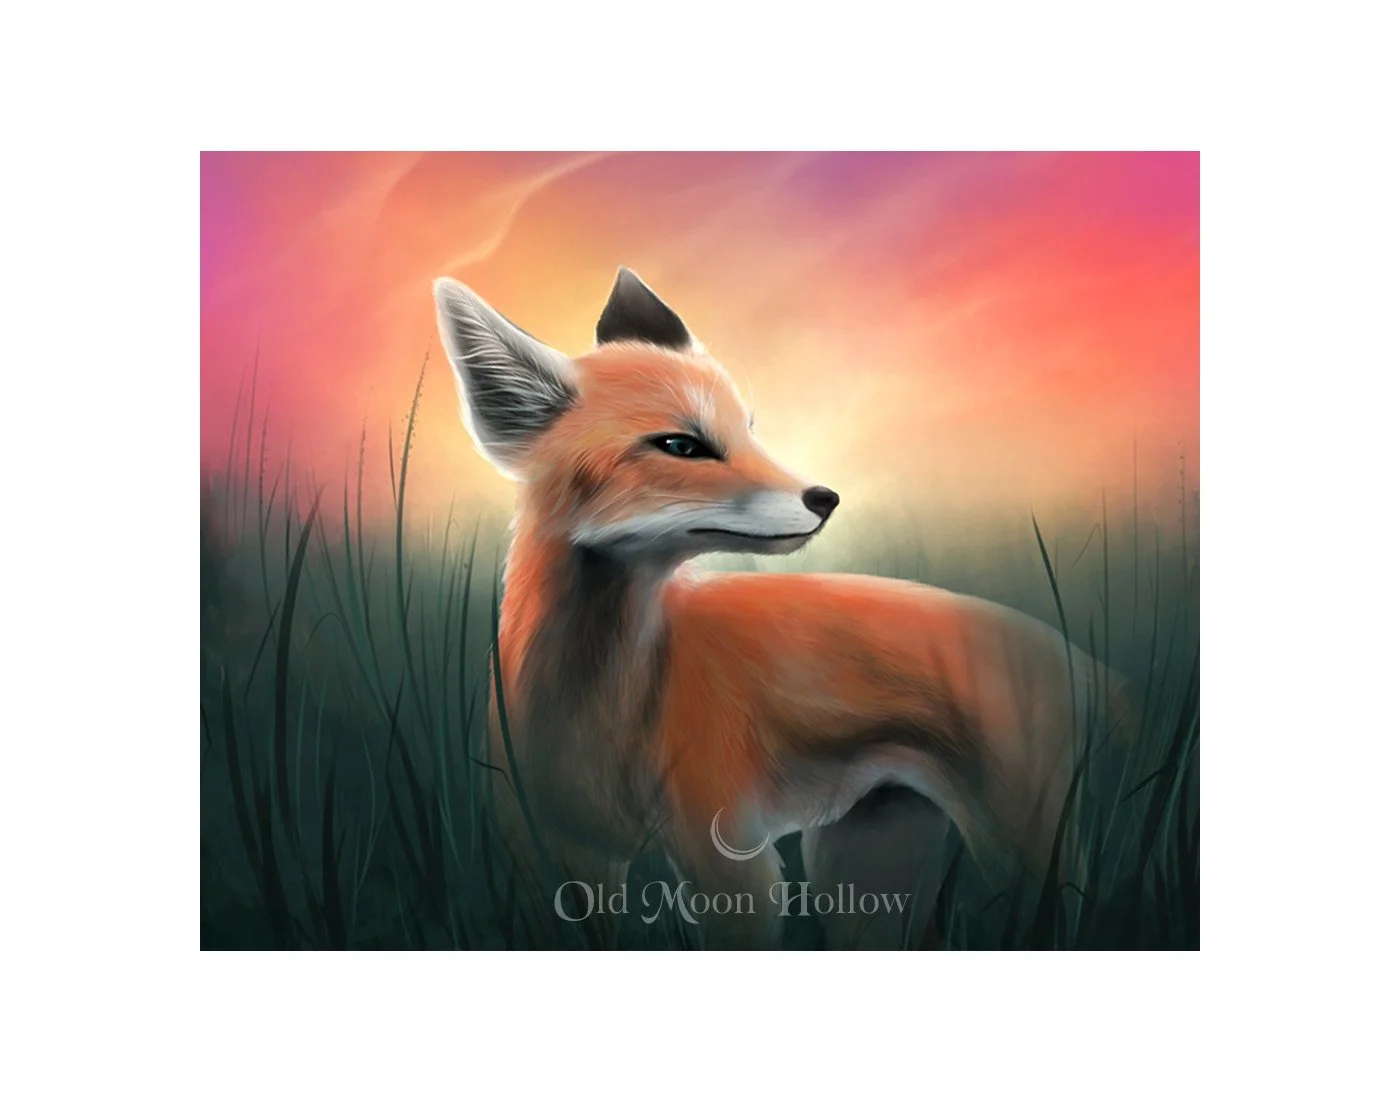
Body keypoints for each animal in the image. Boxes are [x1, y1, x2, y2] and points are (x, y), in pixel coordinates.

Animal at [433, 268, 1129, 946]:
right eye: (681, 445)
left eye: (748, 430)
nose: (825, 497)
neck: (599, 712)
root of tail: (1076, 657)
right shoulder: (557, 859)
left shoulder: (734, 864)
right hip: (864, 873)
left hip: (1023, 857)